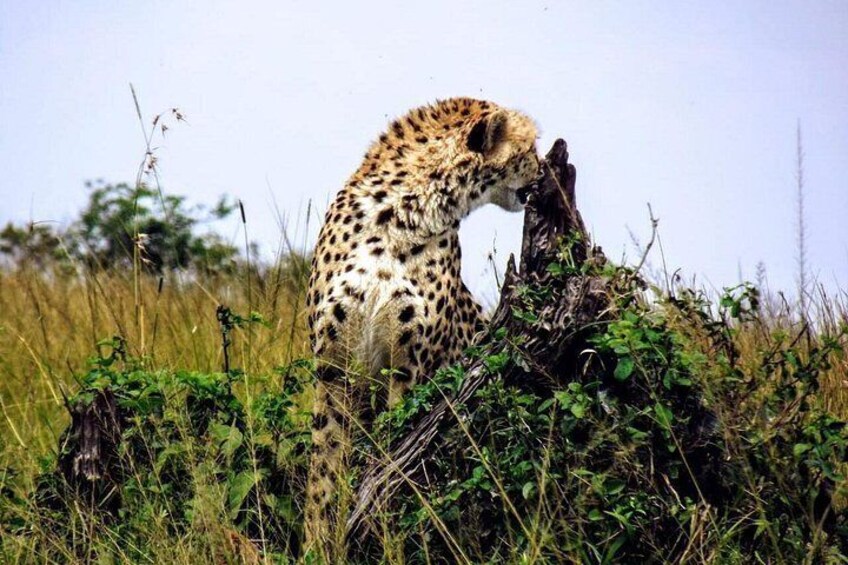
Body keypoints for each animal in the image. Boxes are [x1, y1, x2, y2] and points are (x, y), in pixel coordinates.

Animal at [304, 97, 540, 558]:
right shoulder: (333, 369)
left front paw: (386, 538)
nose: (544, 174)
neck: (400, 215)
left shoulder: (409, 367)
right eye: (532, 147)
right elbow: (323, 469)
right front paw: (316, 546)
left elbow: (391, 458)